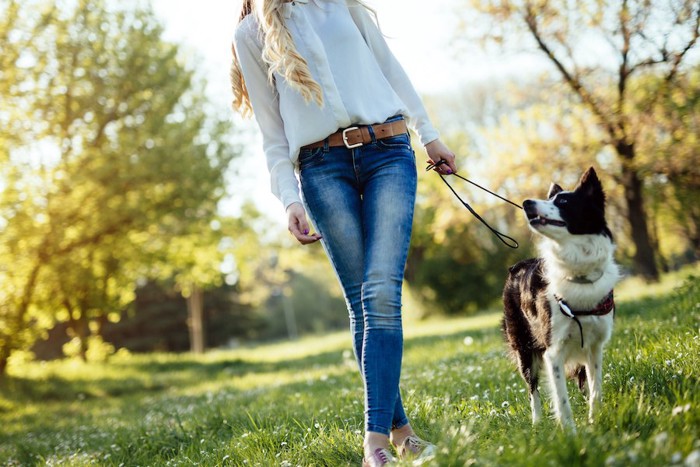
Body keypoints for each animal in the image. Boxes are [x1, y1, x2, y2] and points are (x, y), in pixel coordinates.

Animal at [504, 168, 616, 432]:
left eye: (563, 202)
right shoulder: (553, 352)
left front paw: (594, 422)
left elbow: (595, 390)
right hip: (524, 348)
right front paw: (572, 434)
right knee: (532, 388)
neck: (579, 273)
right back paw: (536, 422)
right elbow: (562, 401)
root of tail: (516, 266)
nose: (526, 203)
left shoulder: (595, 347)